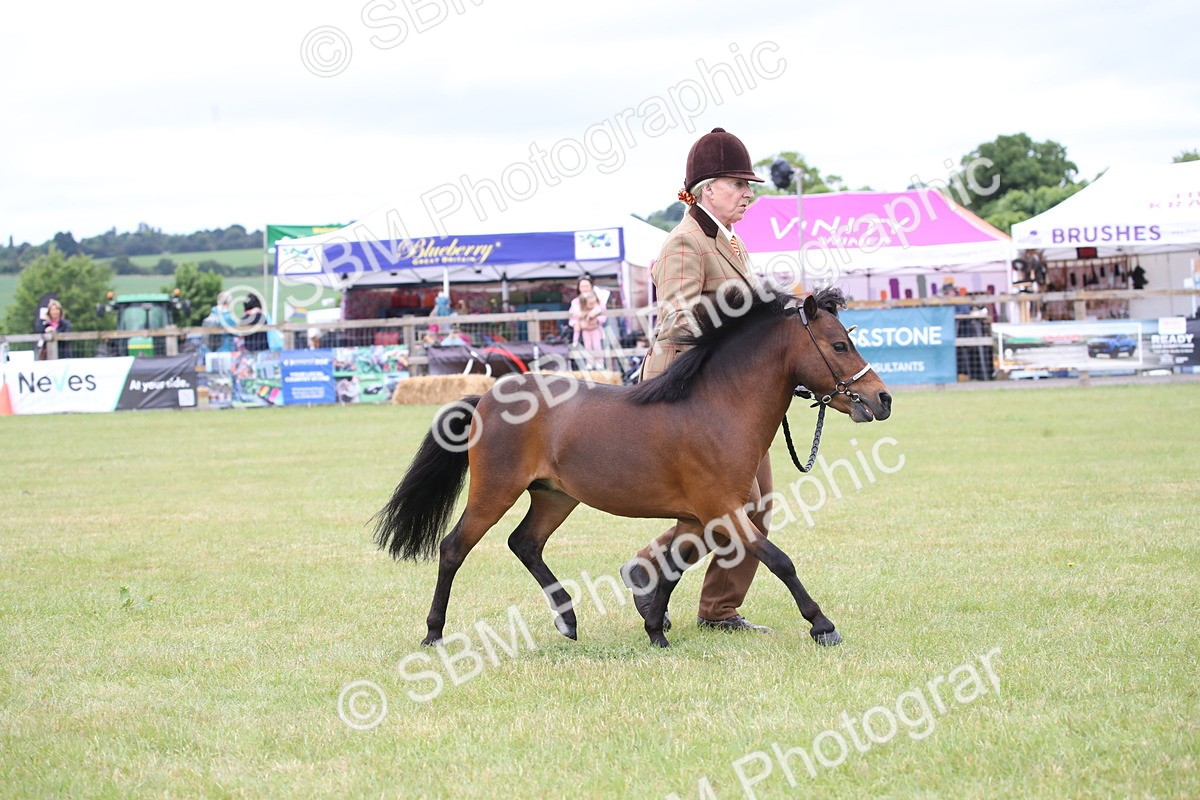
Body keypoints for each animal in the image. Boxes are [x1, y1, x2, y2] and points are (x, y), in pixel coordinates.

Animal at [373, 286, 892, 648]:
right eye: (839, 345)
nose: (882, 399)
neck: (717, 408)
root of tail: (486, 397)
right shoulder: (722, 510)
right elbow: (778, 560)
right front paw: (822, 625)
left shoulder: (698, 516)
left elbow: (673, 564)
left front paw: (654, 627)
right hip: (494, 492)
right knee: (454, 548)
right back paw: (434, 633)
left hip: (554, 496)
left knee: (525, 543)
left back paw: (568, 620)